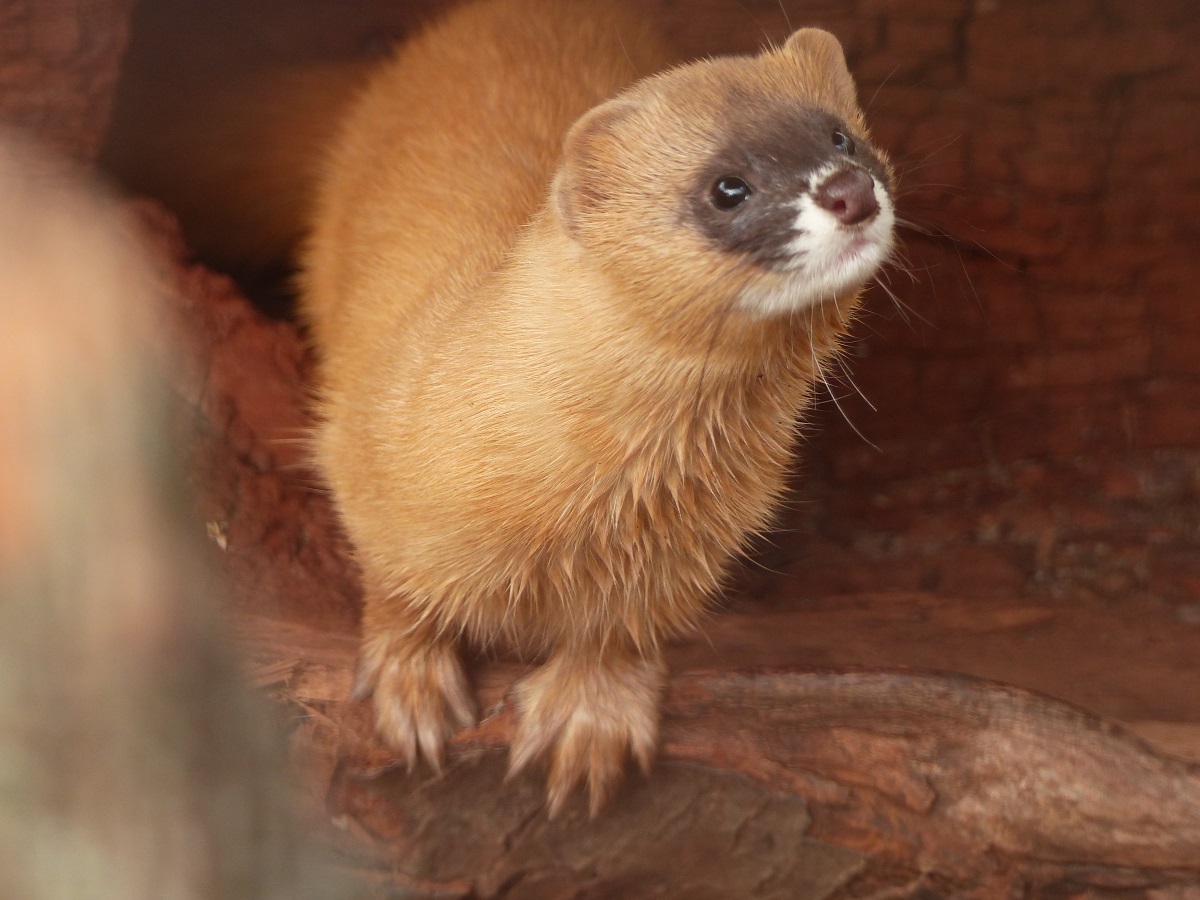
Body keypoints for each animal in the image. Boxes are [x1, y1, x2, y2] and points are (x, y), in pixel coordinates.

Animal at [300, 0, 897, 816]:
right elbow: (393, 584)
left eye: (841, 134)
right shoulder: (368, 446)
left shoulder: (693, 550)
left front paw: (590, 720)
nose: (850, 190)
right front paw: (411, 687)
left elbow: (623, 630)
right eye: (727, 187)